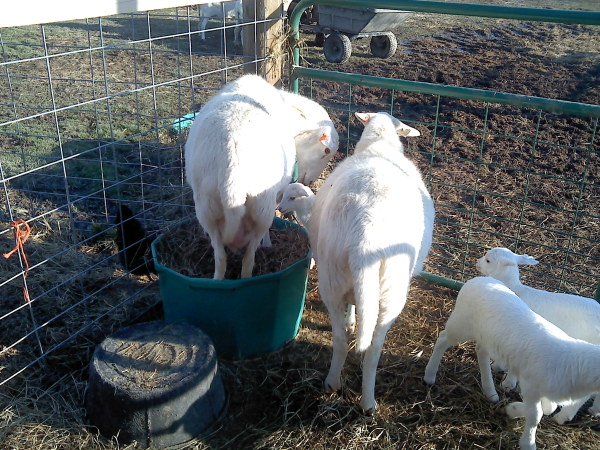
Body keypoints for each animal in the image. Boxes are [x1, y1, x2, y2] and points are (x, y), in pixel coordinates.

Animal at [185, 74, 338, 280]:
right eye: (326, 152)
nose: (310, 182)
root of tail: (232, 159)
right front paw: (268, 243)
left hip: (206, 207)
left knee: (221, 258)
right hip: (261, 206)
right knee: (248, 259)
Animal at [286, 111, 432, 412]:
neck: (379, 146)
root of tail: (366, 237)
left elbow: (354, 307)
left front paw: (353, 321)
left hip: (333, 277)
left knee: (340, 339)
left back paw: (332, 383)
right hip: (392, 292)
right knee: (374, 349)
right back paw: (368, 402)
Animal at [422, 276, 600, 450]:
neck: (572, 363)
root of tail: (477, 279)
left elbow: (549, 409)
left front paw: (513, 409)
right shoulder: (530, 385)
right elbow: (536, 415)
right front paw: (528, 442)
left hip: (486, 335)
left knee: (481, 351)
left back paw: (490, 391)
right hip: (461, 323)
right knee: (443, 339)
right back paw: (429, 375)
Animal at [476, 248, 600, 424]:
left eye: (488, 260)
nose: (476, 263)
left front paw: (508, 383)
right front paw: (499, 367)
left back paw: (562, 416)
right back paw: (595, 410)